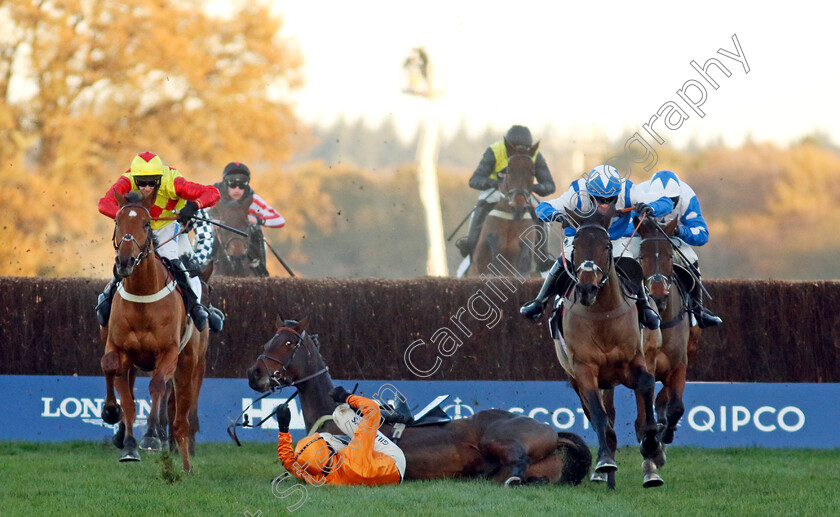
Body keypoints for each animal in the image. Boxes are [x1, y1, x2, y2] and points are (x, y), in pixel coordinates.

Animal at [100, 190, 210, 472]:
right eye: (117, 222)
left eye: (146, 224)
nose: (125, 262)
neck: (143, 296)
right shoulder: (119, 348)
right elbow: (118, 382)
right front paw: (123, 434)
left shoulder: (168, 351)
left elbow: (158, 385)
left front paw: (151, 436)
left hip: (191, 361)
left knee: (182, 405)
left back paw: (183, 453)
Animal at [246, 316, 592, 486]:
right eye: (269, 339)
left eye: (287, 342)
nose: (254, 372)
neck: (328, 412)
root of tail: (553, 432)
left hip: (498, 438)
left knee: (516, 462)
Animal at [470, 143, 540, 276]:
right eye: (509, 170)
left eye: (533, 171)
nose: (518, 204)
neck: (512, 217)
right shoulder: (479, 259)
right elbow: (491, 245)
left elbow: (526, 250)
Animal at [552, 207, 664, 488]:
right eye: (576, 246)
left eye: (606, 245)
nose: (587, 288)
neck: (602, 315)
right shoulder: (583, 370)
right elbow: (600, 417)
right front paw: (604, 461)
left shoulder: (635, 362)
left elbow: (646, 394)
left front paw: (651, 445)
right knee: (601, 417)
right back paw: (607, 473)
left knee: (641, 411)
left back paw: (651, 470)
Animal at [640, 216, 700, 446]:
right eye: (642, 256)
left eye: (668, 255)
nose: (657, 294)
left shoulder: (679, 362)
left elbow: (676, 406)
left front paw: (666, 431)